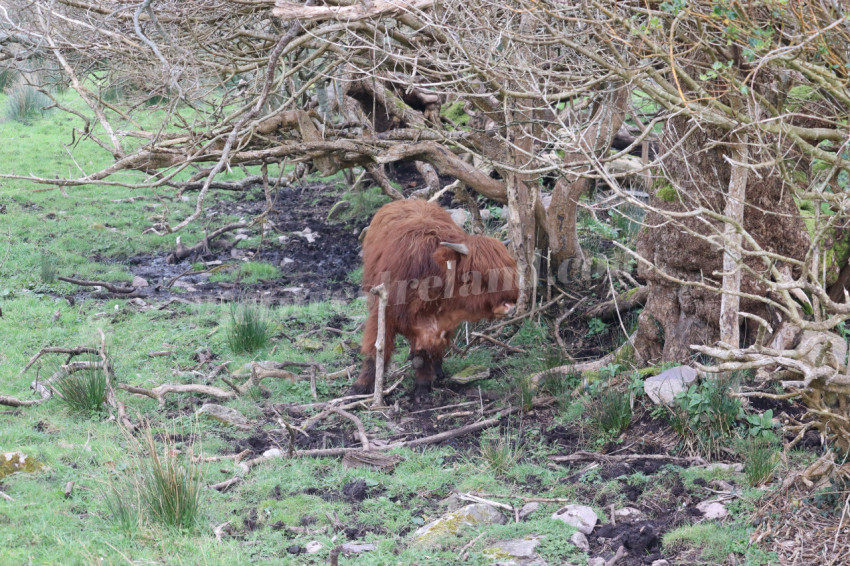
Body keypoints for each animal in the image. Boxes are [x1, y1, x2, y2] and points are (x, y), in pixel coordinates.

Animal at [352, 199, 516, 400]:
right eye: (473, 274)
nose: (508, 304)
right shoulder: (383, 313)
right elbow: (376, 349)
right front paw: (361, 386)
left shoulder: (438, 324)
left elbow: (425, 354)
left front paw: (422, 387)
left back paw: (437, 371)